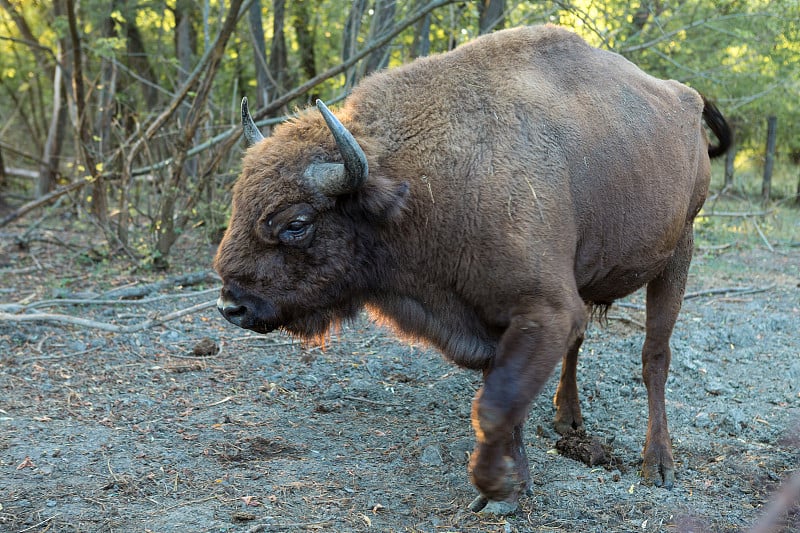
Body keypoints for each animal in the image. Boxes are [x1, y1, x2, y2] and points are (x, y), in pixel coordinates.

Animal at [212, 23, 732, 512]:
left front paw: (495, 486)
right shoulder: (496, 319)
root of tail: (687, 98)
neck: (418, 183)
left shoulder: (545, 311)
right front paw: (510, 487)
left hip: (679, 252)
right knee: (580, 345)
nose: (231, 306)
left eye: (296, 223)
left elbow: (494, 406)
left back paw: (658, 464)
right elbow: (500, 399)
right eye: (238, 200)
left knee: (655, 358)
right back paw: (568, 418)